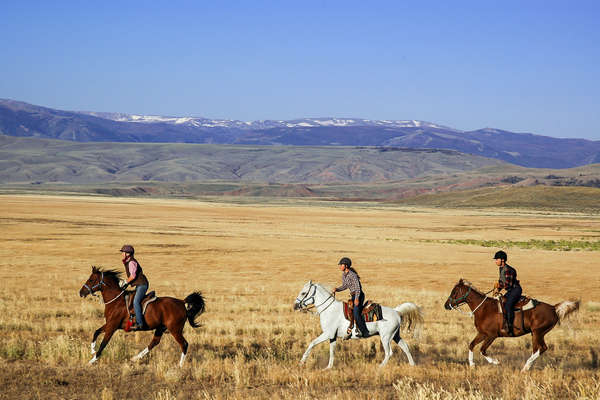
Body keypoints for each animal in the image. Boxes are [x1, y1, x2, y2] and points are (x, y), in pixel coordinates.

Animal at [294, 280, 424, 368]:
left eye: (303, 293)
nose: (295, 306)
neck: (329, 309)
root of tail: (396, 312)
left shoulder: (327, 334)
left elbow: (312, 343)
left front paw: (302, 361)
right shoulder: (333, 336)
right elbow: (332, 351)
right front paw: (328, 367)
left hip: (386, 337)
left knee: (389, 352)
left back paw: (380, 367)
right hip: (395, 335)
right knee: (405, 347)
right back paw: (412, 365)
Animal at [442, 278, 580, 372]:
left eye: (454, 292)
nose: (446, 305)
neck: (484, 308)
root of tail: (553, 308)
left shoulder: (492, 335)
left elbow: (482, 350)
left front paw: (496, 362)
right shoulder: (482, 333)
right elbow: (471, 345)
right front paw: (472, 365)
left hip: (538, 332)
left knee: (542, 348)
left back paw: (525, 367)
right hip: (535, 334)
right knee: (538, 349)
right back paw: (527, 367)